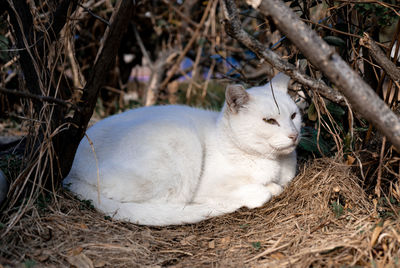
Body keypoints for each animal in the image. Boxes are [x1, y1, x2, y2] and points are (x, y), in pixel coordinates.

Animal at [63, 73, 300, 224]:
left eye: (294, 116)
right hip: (181, 140)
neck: (275, 164)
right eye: (270, 121)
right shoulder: (207, 187)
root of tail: (69, 172)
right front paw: (266, 190)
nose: (294, 135)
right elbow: (263, 190)